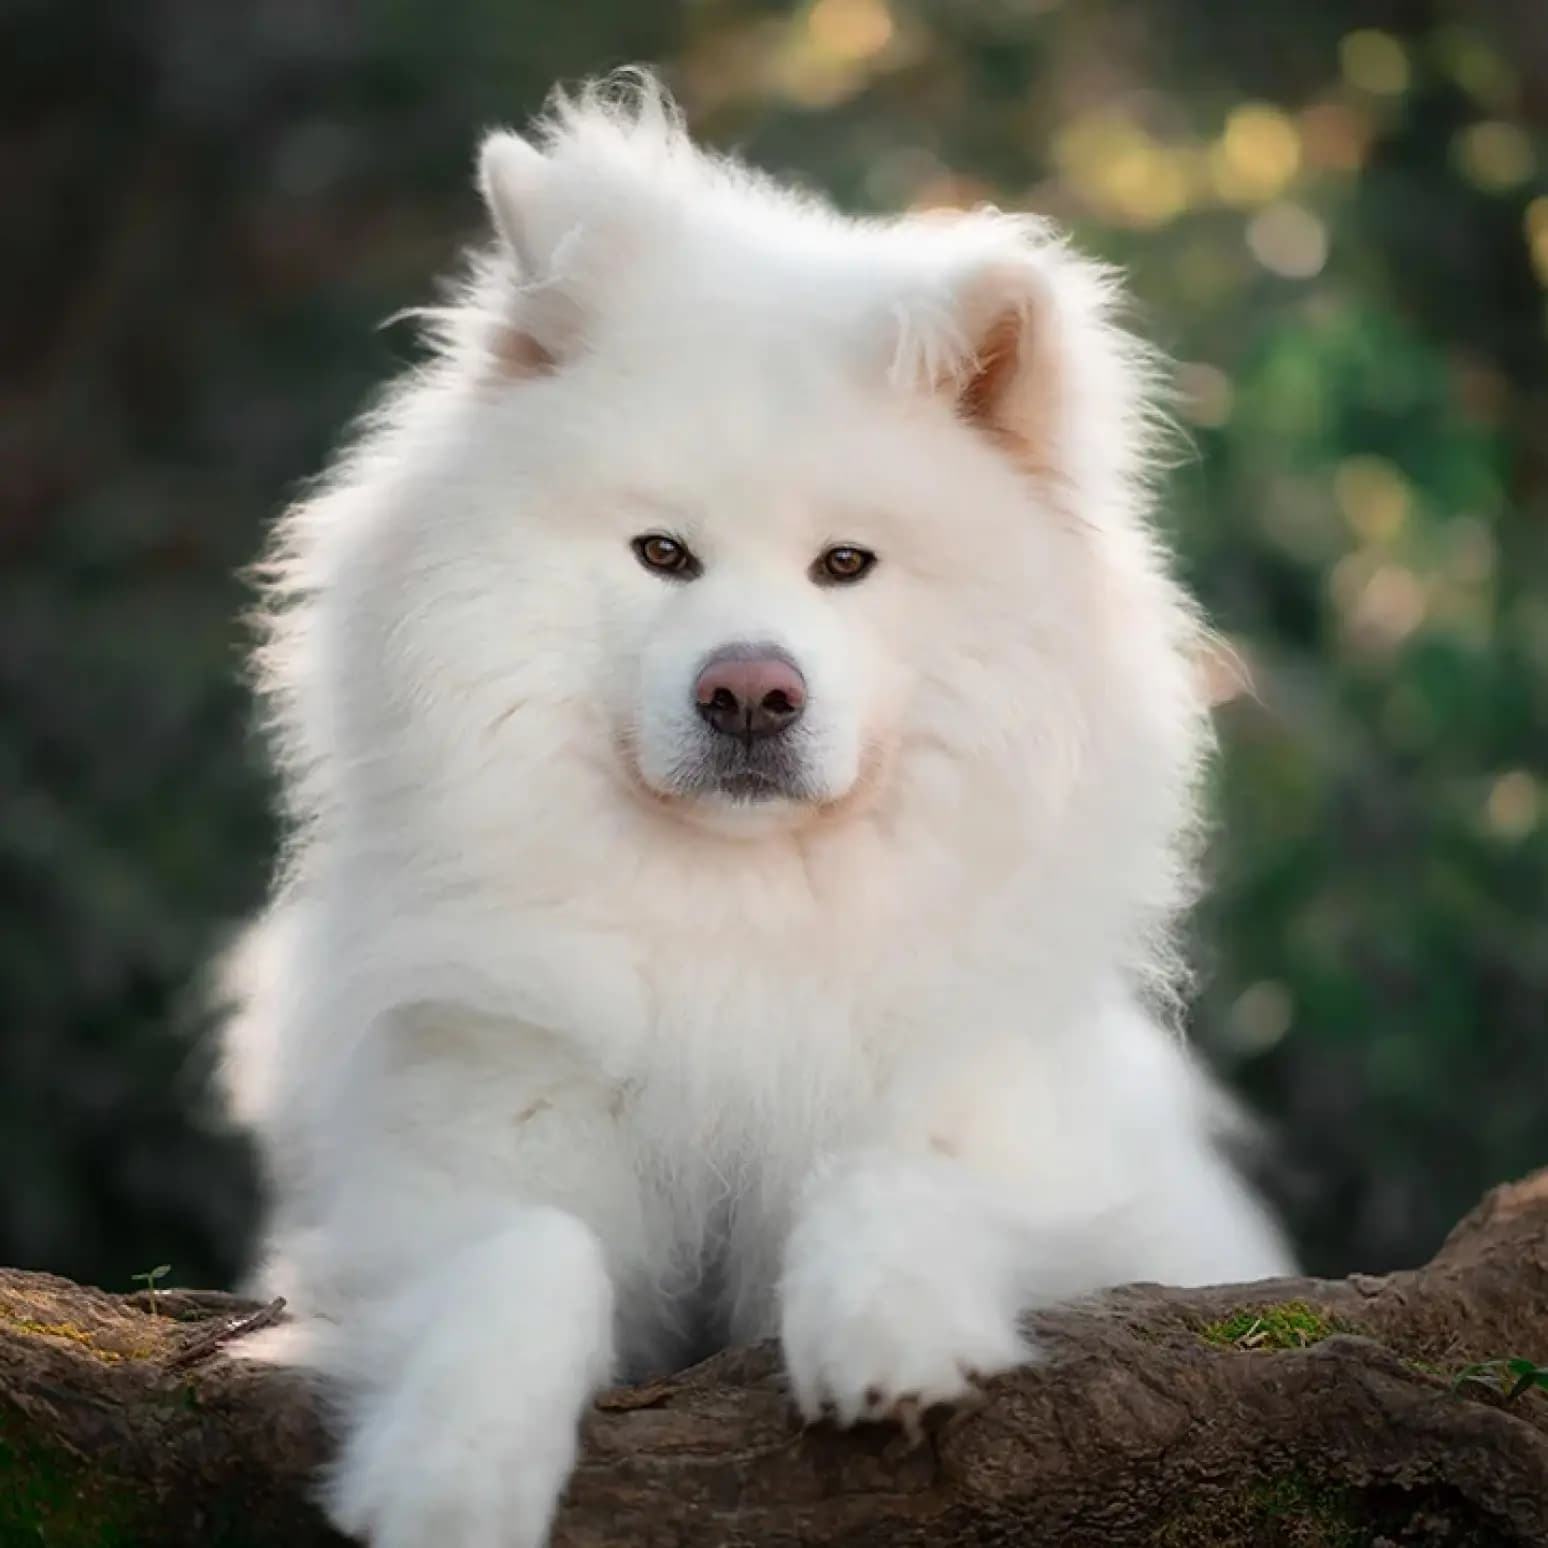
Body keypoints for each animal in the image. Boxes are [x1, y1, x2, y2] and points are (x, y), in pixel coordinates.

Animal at [215, 72, 1281, 1548]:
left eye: (847, 565)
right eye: (663, 554)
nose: (748, 694)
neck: (743, 915)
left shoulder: (1047, 1170)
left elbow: (888, 1174)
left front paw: (886, 1330)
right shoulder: (447, 1169)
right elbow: (528, 1251)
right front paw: (451, 1466)